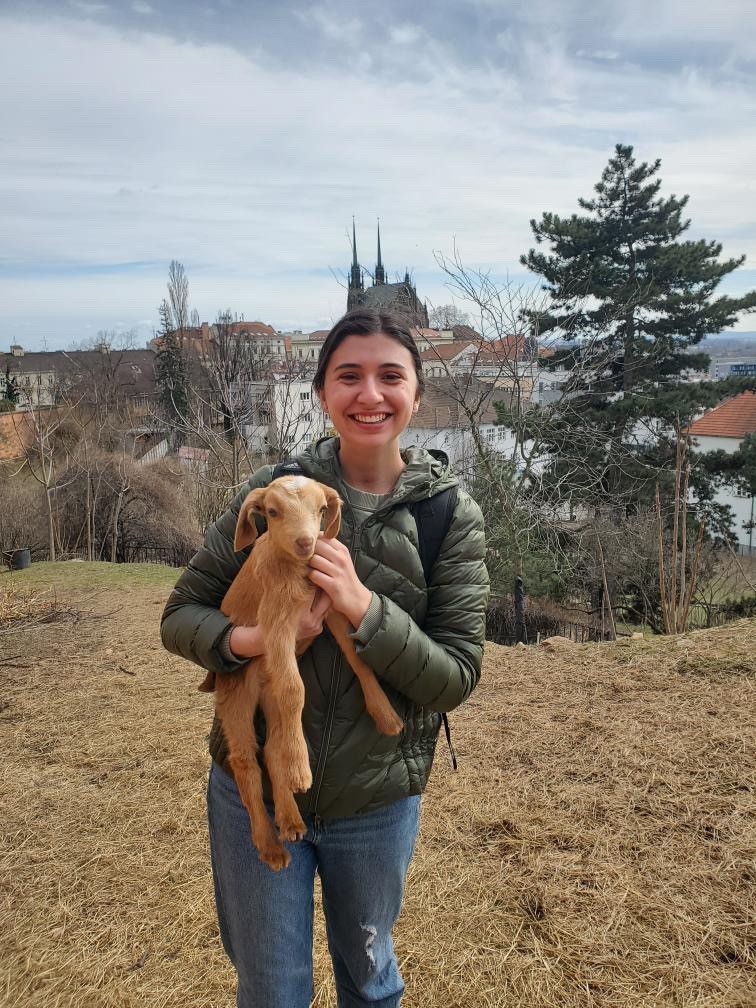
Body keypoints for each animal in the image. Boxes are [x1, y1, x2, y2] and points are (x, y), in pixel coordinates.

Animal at [199, 475, 403, 870]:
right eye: (272, 511)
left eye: (321, 509)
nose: (306, 542)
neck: (296, 572)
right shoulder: (276, 627)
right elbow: (296, 689)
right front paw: (301, 773)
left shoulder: (332, 607)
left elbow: (357, 658)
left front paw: (385, 714)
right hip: (235, 694)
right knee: (245, 759)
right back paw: (270, 844)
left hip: (271, 699)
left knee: (274, 748)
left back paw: (291, 818)